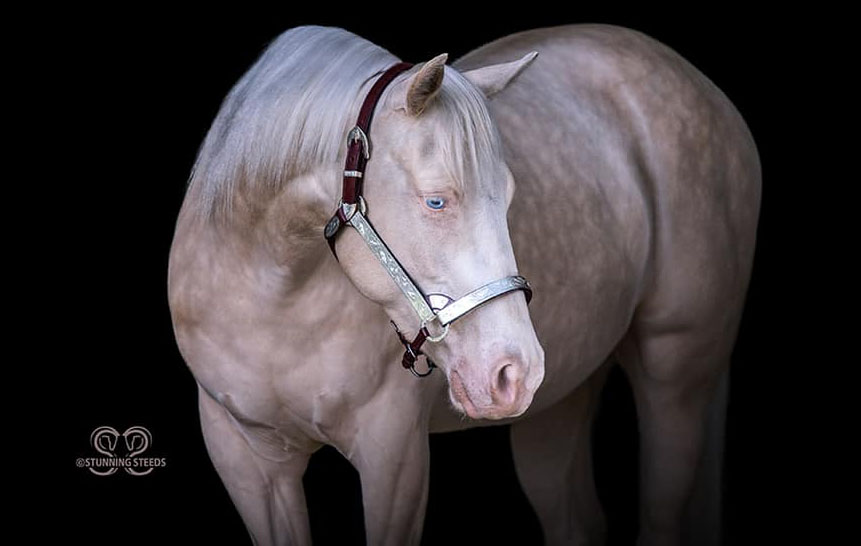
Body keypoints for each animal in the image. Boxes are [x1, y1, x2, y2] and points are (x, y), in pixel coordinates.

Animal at [168, 22, 760, 544]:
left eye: (511, 193)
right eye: (436, 200)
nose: (515, 372)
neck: (275, 297)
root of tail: (707, 93)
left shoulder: (394, 457)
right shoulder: (247, 459)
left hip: (677, 373)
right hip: (565, 395)